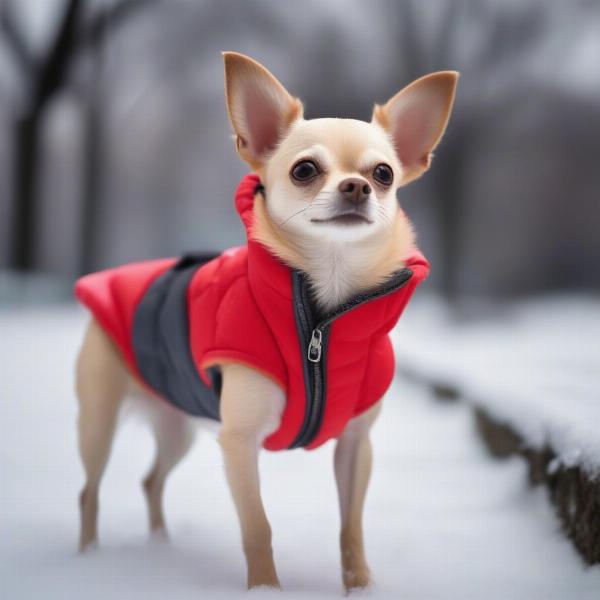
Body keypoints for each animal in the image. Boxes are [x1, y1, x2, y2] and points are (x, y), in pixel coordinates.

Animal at [74, 50, 454, 592]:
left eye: (384, 173)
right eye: (305, 170)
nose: (357, 186)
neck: (321, 311)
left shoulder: (356, 446)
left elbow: (351, 528)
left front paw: (360, 586)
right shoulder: (238, 443)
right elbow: (258, 526)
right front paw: (266, 589)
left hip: (176, 427)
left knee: (151, 480)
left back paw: (160, 545)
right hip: (99, 424)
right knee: (90, 491)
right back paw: (87, 559)